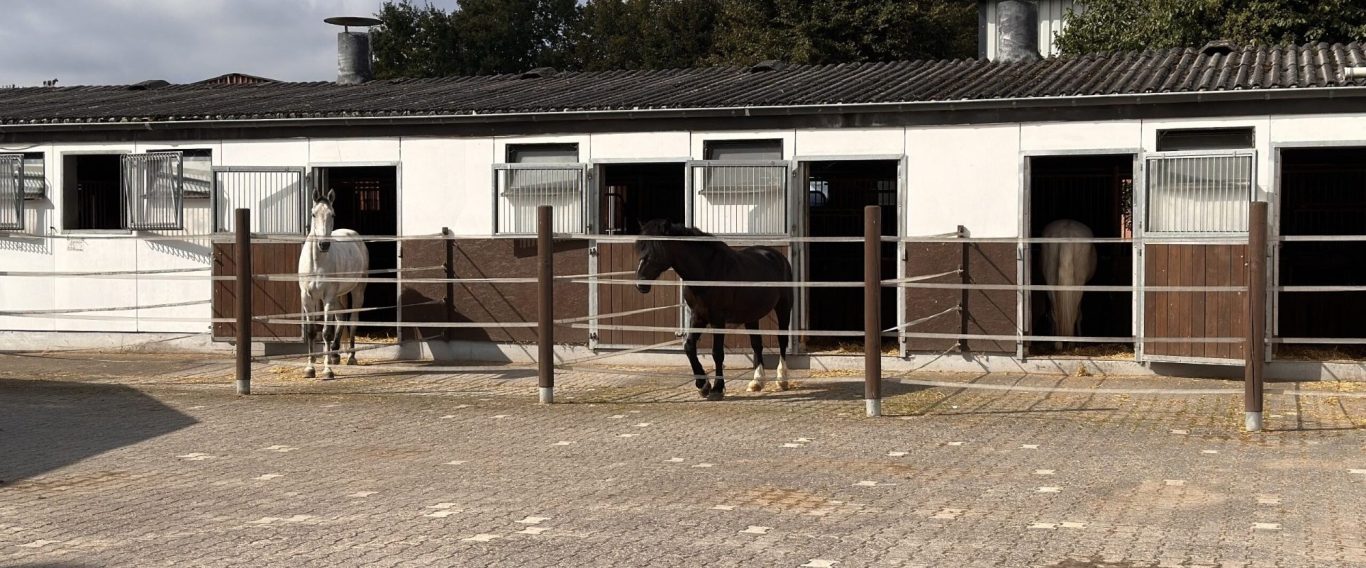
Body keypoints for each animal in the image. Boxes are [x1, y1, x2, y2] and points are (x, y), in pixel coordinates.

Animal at [299, 188, 369, 379]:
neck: (316, 262)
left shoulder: (328, 297)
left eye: (332, 214)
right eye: (313, 214)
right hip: (337, 295)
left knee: (352, 320)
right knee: (341, 316)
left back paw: (351, 357)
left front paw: (327, 370)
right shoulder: (307, 298)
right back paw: (335, 355)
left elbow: (326, 332)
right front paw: (310, 368)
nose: (323, 244)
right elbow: (311, 332)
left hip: (357, 291)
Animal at [634, 219, 794, 401]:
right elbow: (689, 347)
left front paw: (717, 388)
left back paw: (782, 380)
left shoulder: (718, 319)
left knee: (782, 340)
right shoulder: (698, 316)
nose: (640, 284)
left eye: (657, 248)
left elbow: (717, 352)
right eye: (641, 248)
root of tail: (775, 255)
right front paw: (703, 385)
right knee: (757, 344)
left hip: (783, 307)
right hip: (751, 315)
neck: (706, 272)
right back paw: (757, 381)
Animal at [1039, 219, 1097, 351]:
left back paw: (1058, 343)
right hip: (1079, 283)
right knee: (1074, 311)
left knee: (1055, 311)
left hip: (1050, 281)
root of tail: (1066, 232)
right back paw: (1071, 342)